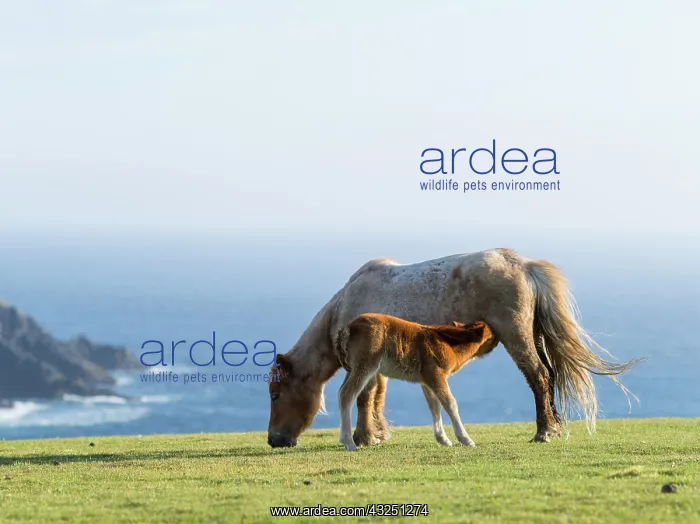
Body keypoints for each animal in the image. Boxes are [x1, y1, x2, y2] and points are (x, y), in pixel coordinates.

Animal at [333, 314, 498, 451]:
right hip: (365, 366)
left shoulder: (426, 381)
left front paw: (443, 440)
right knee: (346, 394)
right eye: (490, 335)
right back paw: (349, 443)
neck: (449, 343)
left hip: (353, 368)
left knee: (342, 391)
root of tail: (350, 327)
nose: (497, 338)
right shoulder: (436, 375)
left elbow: (434, 405)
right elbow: (450, 403)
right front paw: (466, 440)